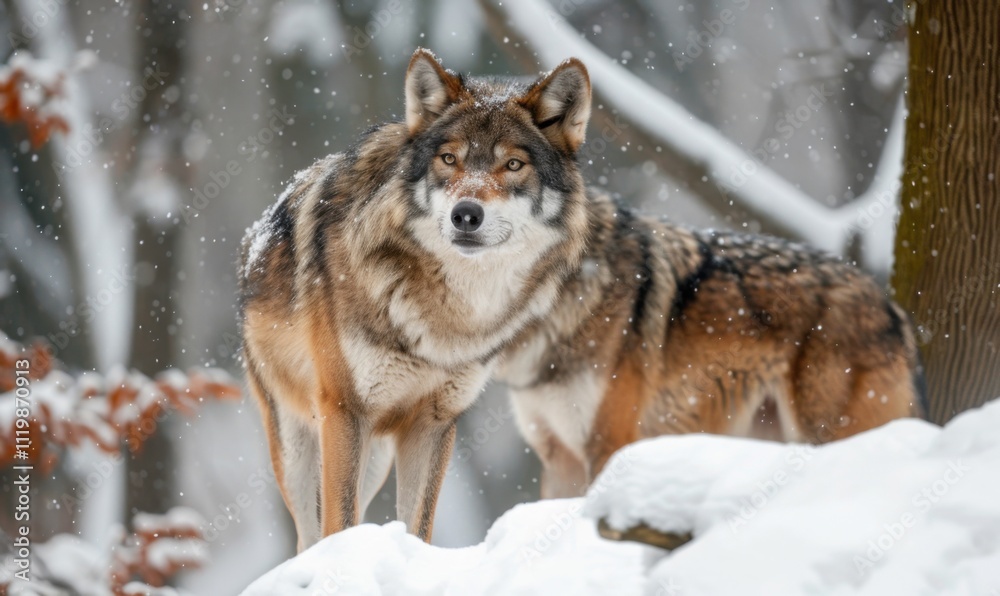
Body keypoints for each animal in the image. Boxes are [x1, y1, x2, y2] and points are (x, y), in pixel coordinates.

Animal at [238, 48, 924, 550]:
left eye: (514, 165)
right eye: (449, 160)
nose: (465, 215)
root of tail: (893, 307)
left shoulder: (536, 436)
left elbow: (422, 527)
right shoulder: (367, 417)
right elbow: (348, 524)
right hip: (313, 441)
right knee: (308, 530)